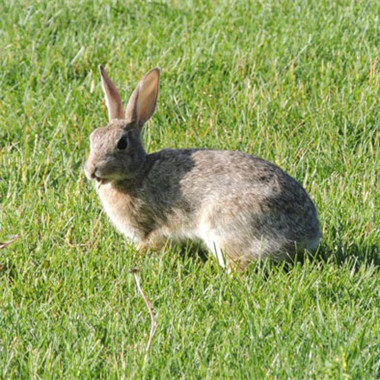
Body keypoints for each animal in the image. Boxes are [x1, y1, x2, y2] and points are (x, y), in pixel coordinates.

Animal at [84, 66, 320, 270]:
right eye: (93, 137)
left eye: (121, 143)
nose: (90, 170)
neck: (138, 172)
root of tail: (308, 236)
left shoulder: (151, 226)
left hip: (224, 227)